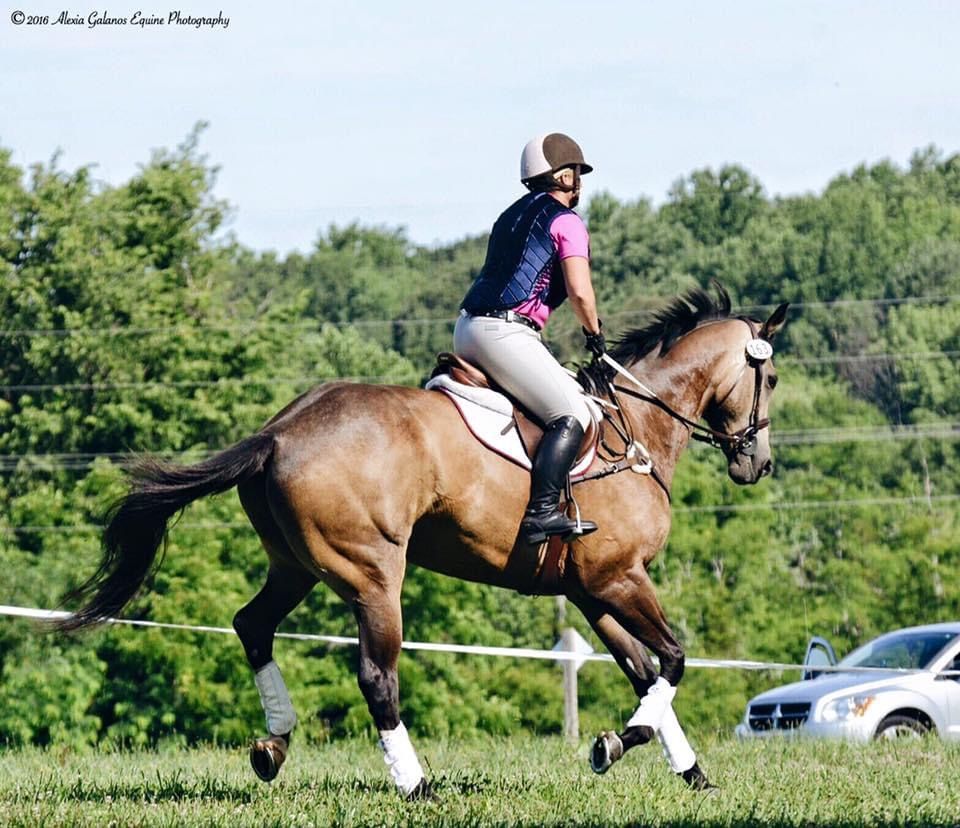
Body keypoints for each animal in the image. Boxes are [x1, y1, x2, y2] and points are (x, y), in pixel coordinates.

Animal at [54, 284, 788, 796]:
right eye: (773, 378)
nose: (759, 464)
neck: (633, 428)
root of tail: (279, 432)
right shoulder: (619, 578)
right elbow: (673, 661)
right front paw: (617, 743)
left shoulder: (590, 589)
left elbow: (645, 670)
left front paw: (689, 774)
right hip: (373, 573)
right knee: (376, 676)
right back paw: (416, 785)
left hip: (295, 564)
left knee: (252, 625)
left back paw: (274, 746)